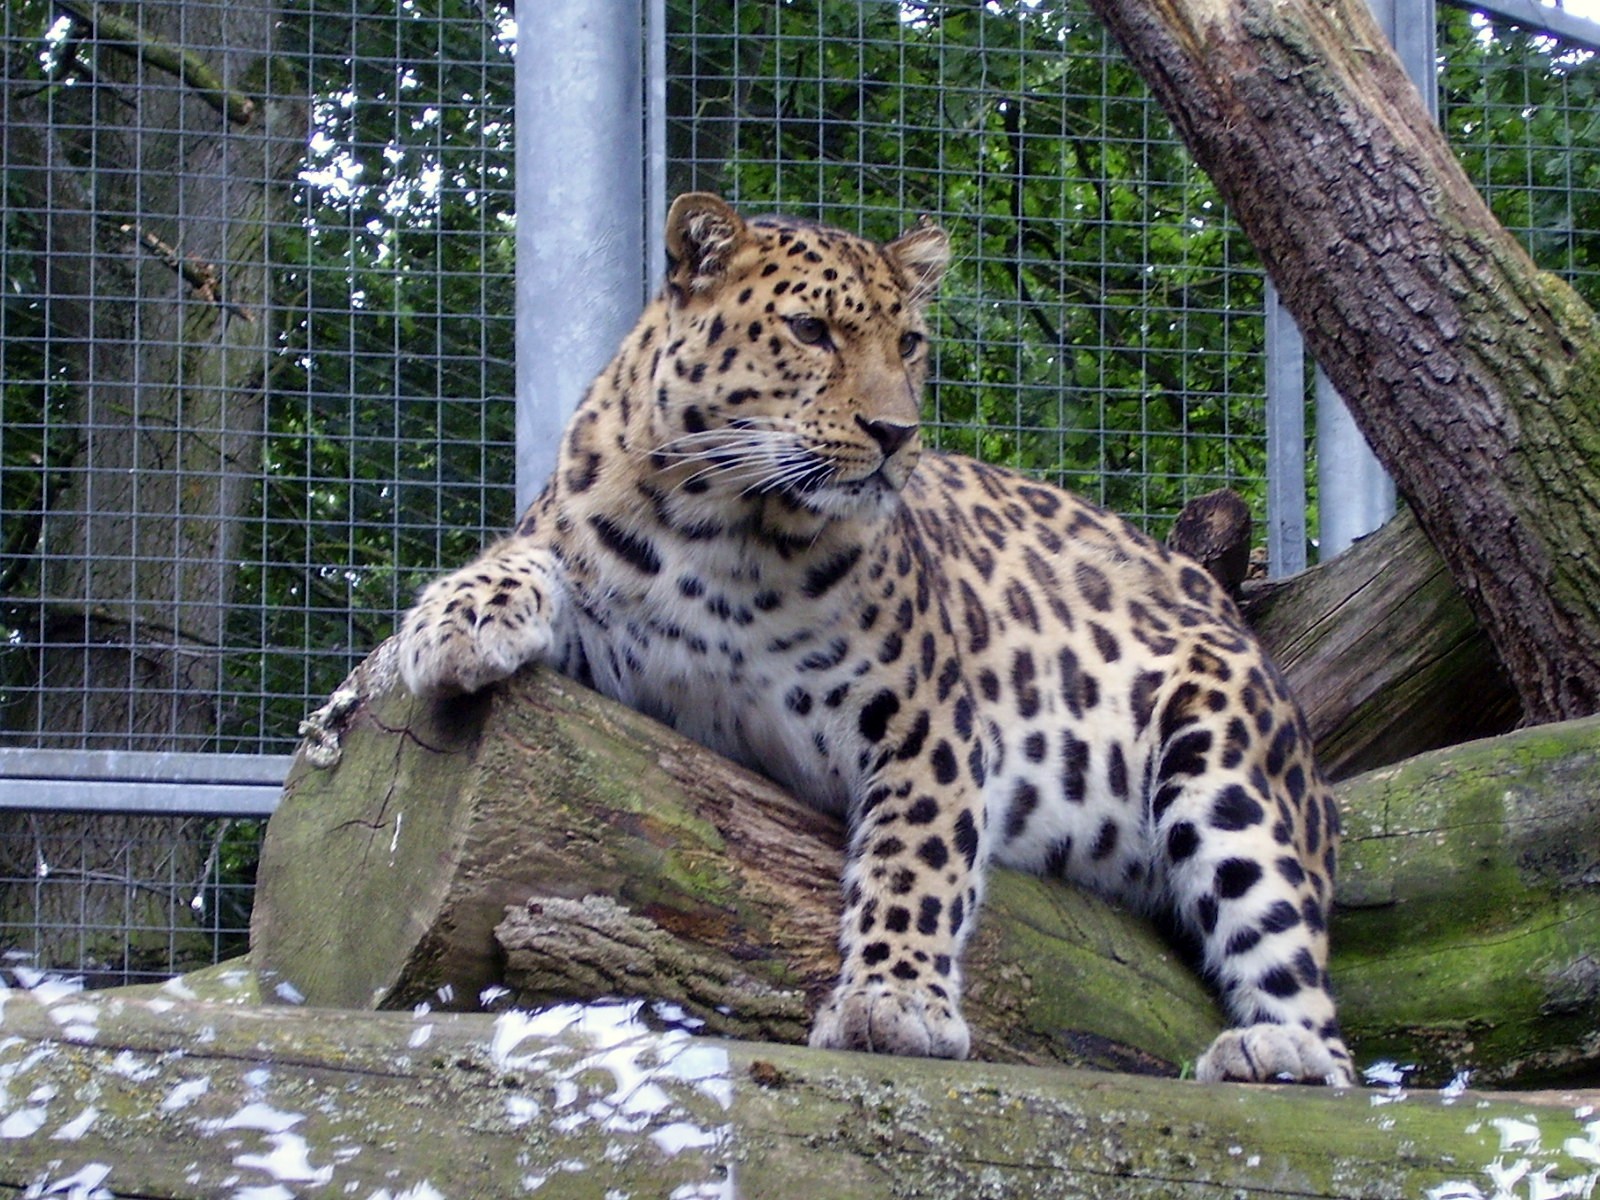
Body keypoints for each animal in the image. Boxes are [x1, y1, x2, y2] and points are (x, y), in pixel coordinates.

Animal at [395, 192, 1355, 1086]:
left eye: (911, 345)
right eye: (811, 331)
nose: (896, 435)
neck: (723, 528)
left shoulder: (929, 721)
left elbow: (913, 863)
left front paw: (894, 1004)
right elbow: (528, 555)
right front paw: (450, 622)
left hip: (1230, 769)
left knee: (1318, 1011)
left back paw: (1278, 1052)